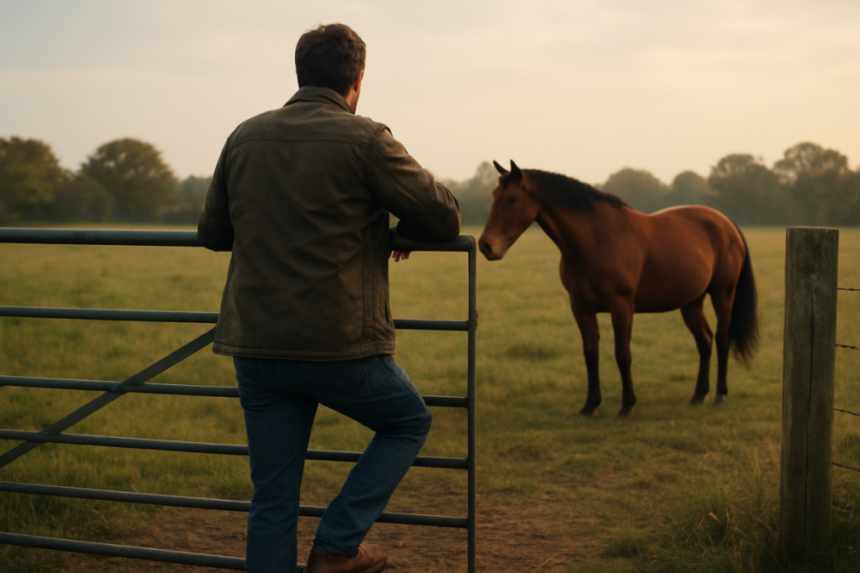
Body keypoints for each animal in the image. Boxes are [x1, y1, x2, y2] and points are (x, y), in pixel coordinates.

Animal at [478, 160, 758, 416]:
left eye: (512, 199)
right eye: (493, 196)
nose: (486, 246)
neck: (596, 240)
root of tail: (727, 223)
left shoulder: (621, 307)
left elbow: (622, 353)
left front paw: (627, 404)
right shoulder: (580, 307)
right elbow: (590, 353)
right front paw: (590, 405)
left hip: (723, 294)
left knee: (721, 339)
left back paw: (720, 395)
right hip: (691, 302)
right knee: (704, 341)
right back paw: (698, 395)